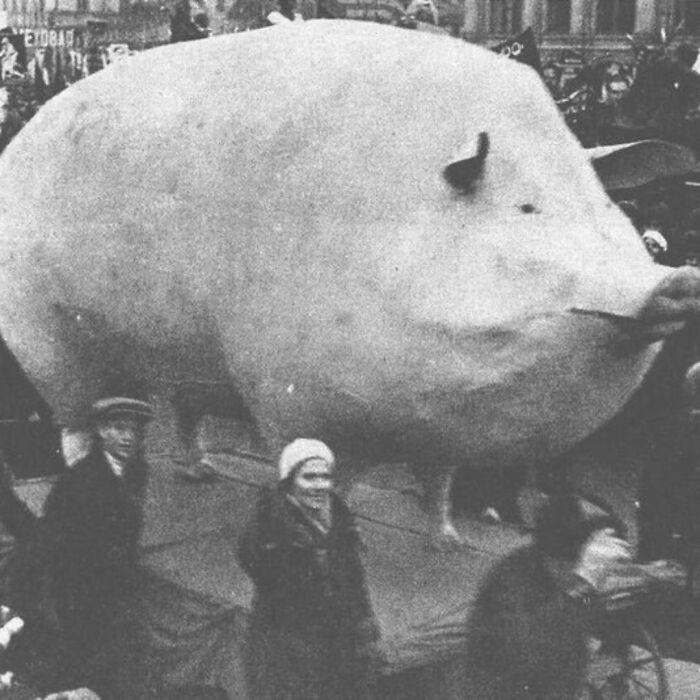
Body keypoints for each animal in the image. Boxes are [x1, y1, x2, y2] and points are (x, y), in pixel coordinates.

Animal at [0, 21, 699, 546]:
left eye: (608, 208)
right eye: (528, 209)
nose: (678, 277)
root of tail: (17, 148)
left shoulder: (442, 432)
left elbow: (441, 476)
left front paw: (449, 542)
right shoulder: (285, 388)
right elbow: (318, 472)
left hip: (168, 354)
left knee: (178, 410)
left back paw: (200, 475)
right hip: (41, 335)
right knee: (76, 424)